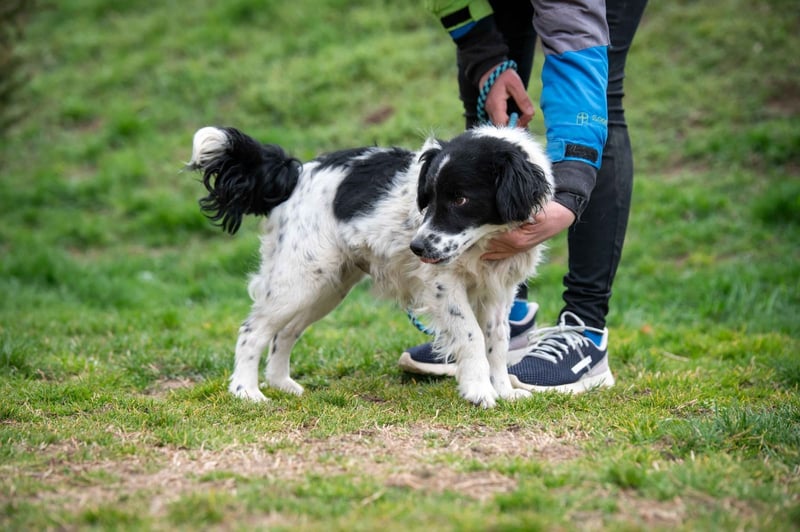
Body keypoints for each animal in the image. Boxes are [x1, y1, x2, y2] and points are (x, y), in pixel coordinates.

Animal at [187, 125, 552, 408]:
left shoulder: (499, 292)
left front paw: (503, 390)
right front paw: (478, 391)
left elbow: (498, 342)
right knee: (253, 330)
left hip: (327, 287)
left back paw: (281, 384)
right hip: (299, 280)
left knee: (285, 332)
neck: (487, 240)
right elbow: (472, 335)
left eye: (460, 199)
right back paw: (245, 391)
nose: (417, 248)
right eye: (429, 198)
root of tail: (297, 173)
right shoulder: (443, 286)